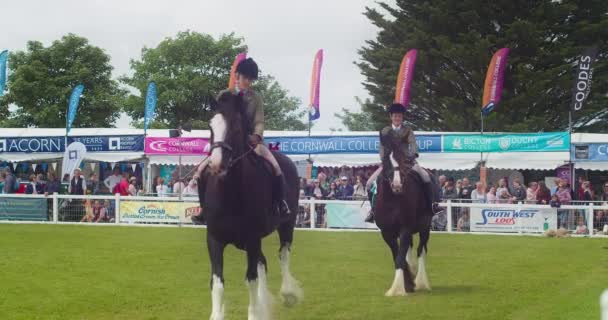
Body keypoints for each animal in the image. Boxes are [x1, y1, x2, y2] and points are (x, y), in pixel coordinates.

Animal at [200, 91, 302, 320]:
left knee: (283, 254)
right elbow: (217, 282)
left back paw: (288, 294)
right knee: (263, 262)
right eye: (210, 126)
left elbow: (252, 279)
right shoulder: (214, 239)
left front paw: (255, 313)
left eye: (236, 128)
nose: (216, 164)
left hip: (286, 224)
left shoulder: (252, 238)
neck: (230, 194)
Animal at [372, 131, 434, 296]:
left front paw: (397, 289)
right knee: (410, 251)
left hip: (425, 227)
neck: (392, 200)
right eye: (386, 159)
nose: (397, 186)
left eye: (404, 160)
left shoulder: (405, 229)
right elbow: (397, 256)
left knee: (421, 251)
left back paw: (421, 281)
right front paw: (407, 283)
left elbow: (400, 258)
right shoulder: (386, 232)